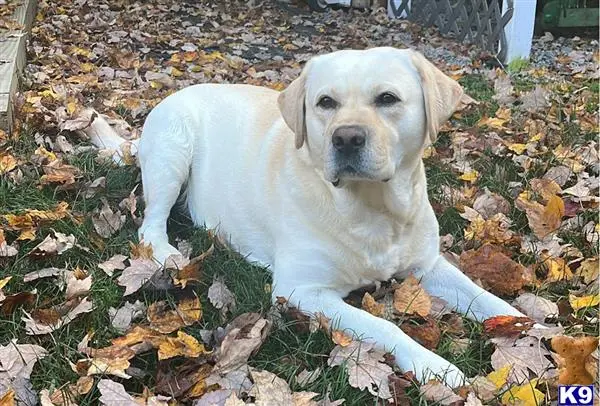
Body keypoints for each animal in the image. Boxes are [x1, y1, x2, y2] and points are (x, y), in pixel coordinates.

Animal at [89, 46, 524, 386]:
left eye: (387, 98)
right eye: (325, 102)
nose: (346, 138)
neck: (375, 209)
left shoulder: (428, 265)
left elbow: (486, 298)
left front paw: (526, 328)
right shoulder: (303, 290)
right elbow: (385, 326)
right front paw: (435, 367)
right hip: (172, 149)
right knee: (150, 223)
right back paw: (167, 252)